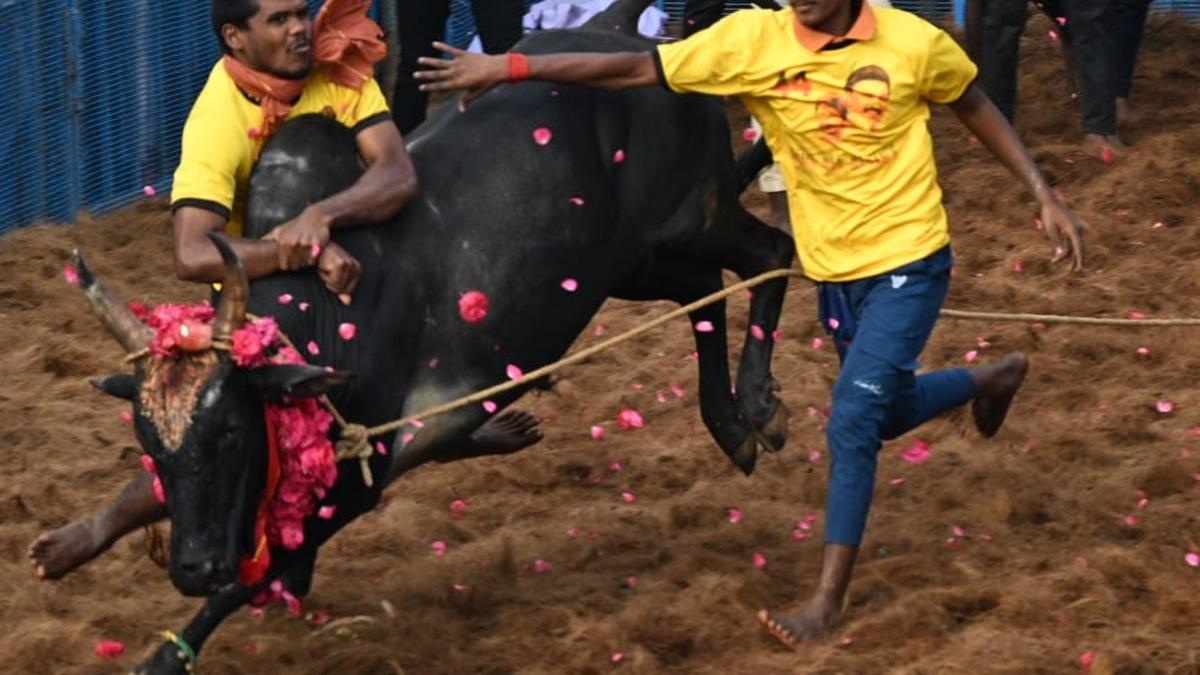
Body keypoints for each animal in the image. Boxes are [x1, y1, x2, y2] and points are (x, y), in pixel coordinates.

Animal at [79, 10, 792, 672]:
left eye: (231, 429)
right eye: (149, 441)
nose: (193, 566)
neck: (322, 325)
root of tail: (629, 34)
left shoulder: (356, 477)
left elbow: (263, 572)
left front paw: (166, 653)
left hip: (696, 219)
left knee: (772, 254)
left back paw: (755, 408)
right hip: (635, 264)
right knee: (704, 293)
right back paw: (732, 424)